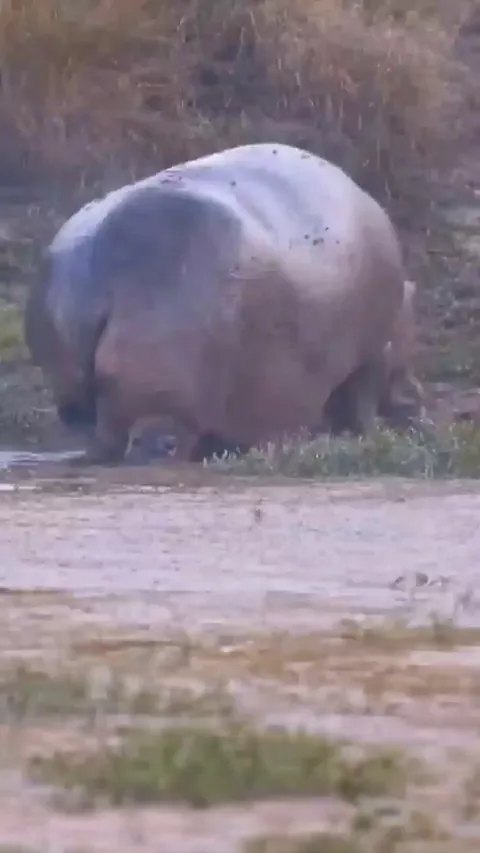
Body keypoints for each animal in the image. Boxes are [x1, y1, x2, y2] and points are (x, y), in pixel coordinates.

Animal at [25, 142, 408, 464]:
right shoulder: (371, 358)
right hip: (161, 385)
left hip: (76, 394)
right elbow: (360, 407)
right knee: (155, 439)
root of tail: (96, 281)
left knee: (97, 434)